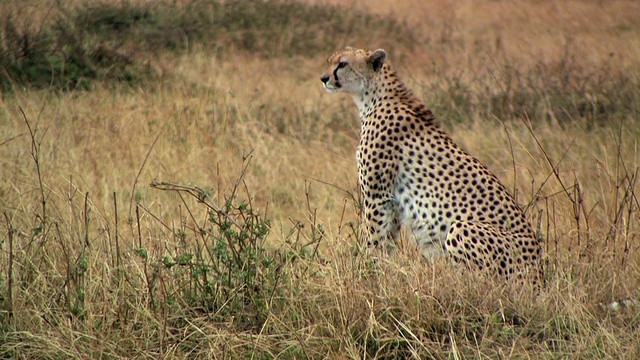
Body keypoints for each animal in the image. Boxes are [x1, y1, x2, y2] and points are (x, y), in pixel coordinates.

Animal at [320, 46, 540, 282]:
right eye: (329, 61)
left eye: (342, 64)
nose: (323, 78)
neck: (373, 96)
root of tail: (540, 273)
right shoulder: (392, 202)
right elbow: (387, 242)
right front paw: (382, 272)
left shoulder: (377, 196)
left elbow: (373, 238)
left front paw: (365, 272)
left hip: (461, 227)